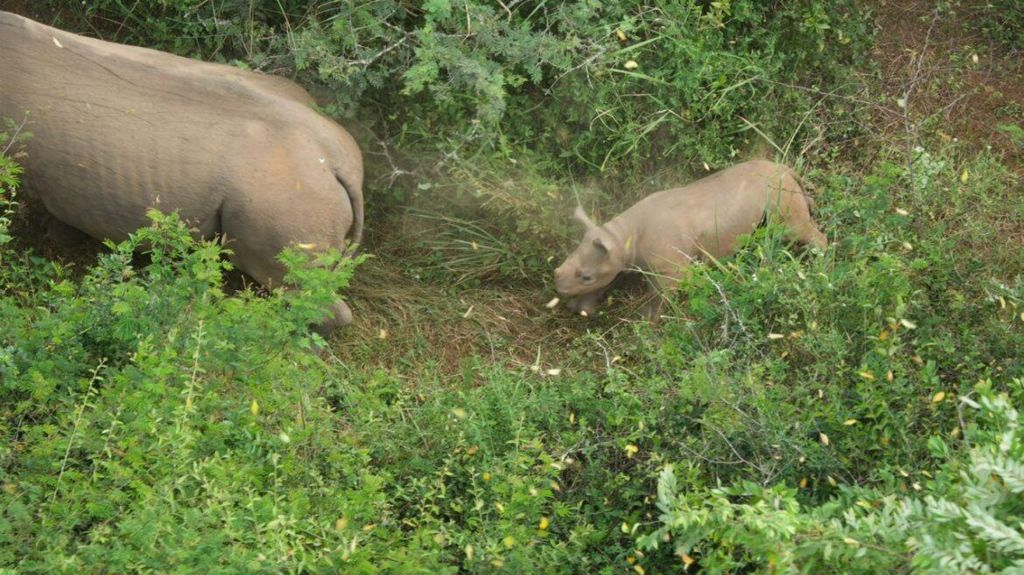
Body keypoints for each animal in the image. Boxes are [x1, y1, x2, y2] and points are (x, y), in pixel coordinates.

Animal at [552, 159, 823, 317]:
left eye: (586, 276)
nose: (559, 289)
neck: (621, 237)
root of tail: (784, 168)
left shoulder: (670, 269)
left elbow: (660, 297)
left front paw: (648, 320)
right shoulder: (614, 257)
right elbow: (608, 281)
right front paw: (582, 308)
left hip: (776, 190)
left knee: (793, 230)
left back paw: (819, 261)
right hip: (779, 186)